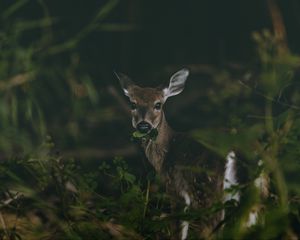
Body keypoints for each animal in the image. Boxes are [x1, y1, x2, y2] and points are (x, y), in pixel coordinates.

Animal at [115, 68, 268, 239]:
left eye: (158, 104)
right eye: (133, 104)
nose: (143, 125)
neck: (165, 155)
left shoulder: (175, 189)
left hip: (208, 191)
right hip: (260, 190)